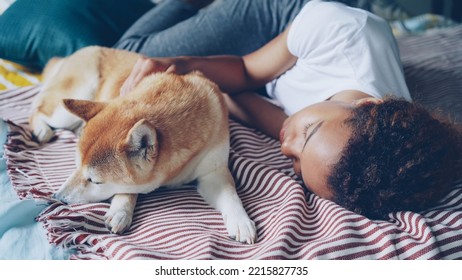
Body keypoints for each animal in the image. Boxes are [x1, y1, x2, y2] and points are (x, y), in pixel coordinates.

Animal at [28, 46, 256, 243]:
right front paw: (121, 211)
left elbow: (230, 195)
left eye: (95, 181)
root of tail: (80, 51)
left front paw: (240, 221)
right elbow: (128, 189)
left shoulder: (214, 171)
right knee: (37, 108)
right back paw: (41, 129)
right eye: (76, 167)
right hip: (66, 109)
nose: (58, 197)